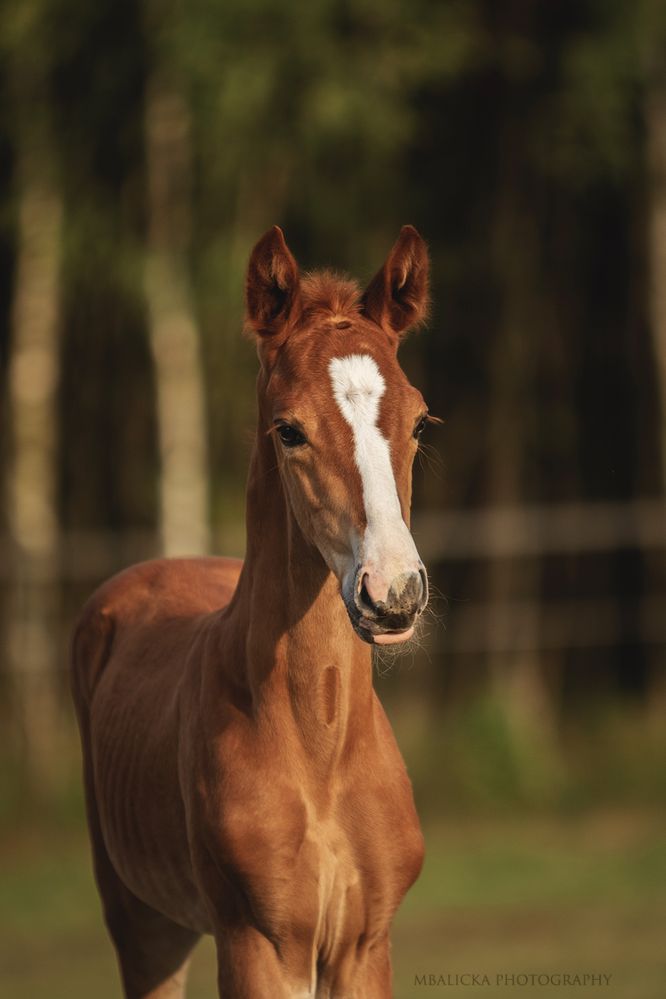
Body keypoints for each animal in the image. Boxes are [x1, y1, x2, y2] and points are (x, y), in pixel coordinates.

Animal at [74, 227, 430, 999]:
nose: (393, 593)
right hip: (143, 922)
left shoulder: (365, 946)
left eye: (421, 419)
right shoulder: (258, 945)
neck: (320, 744)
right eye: (288, 429)